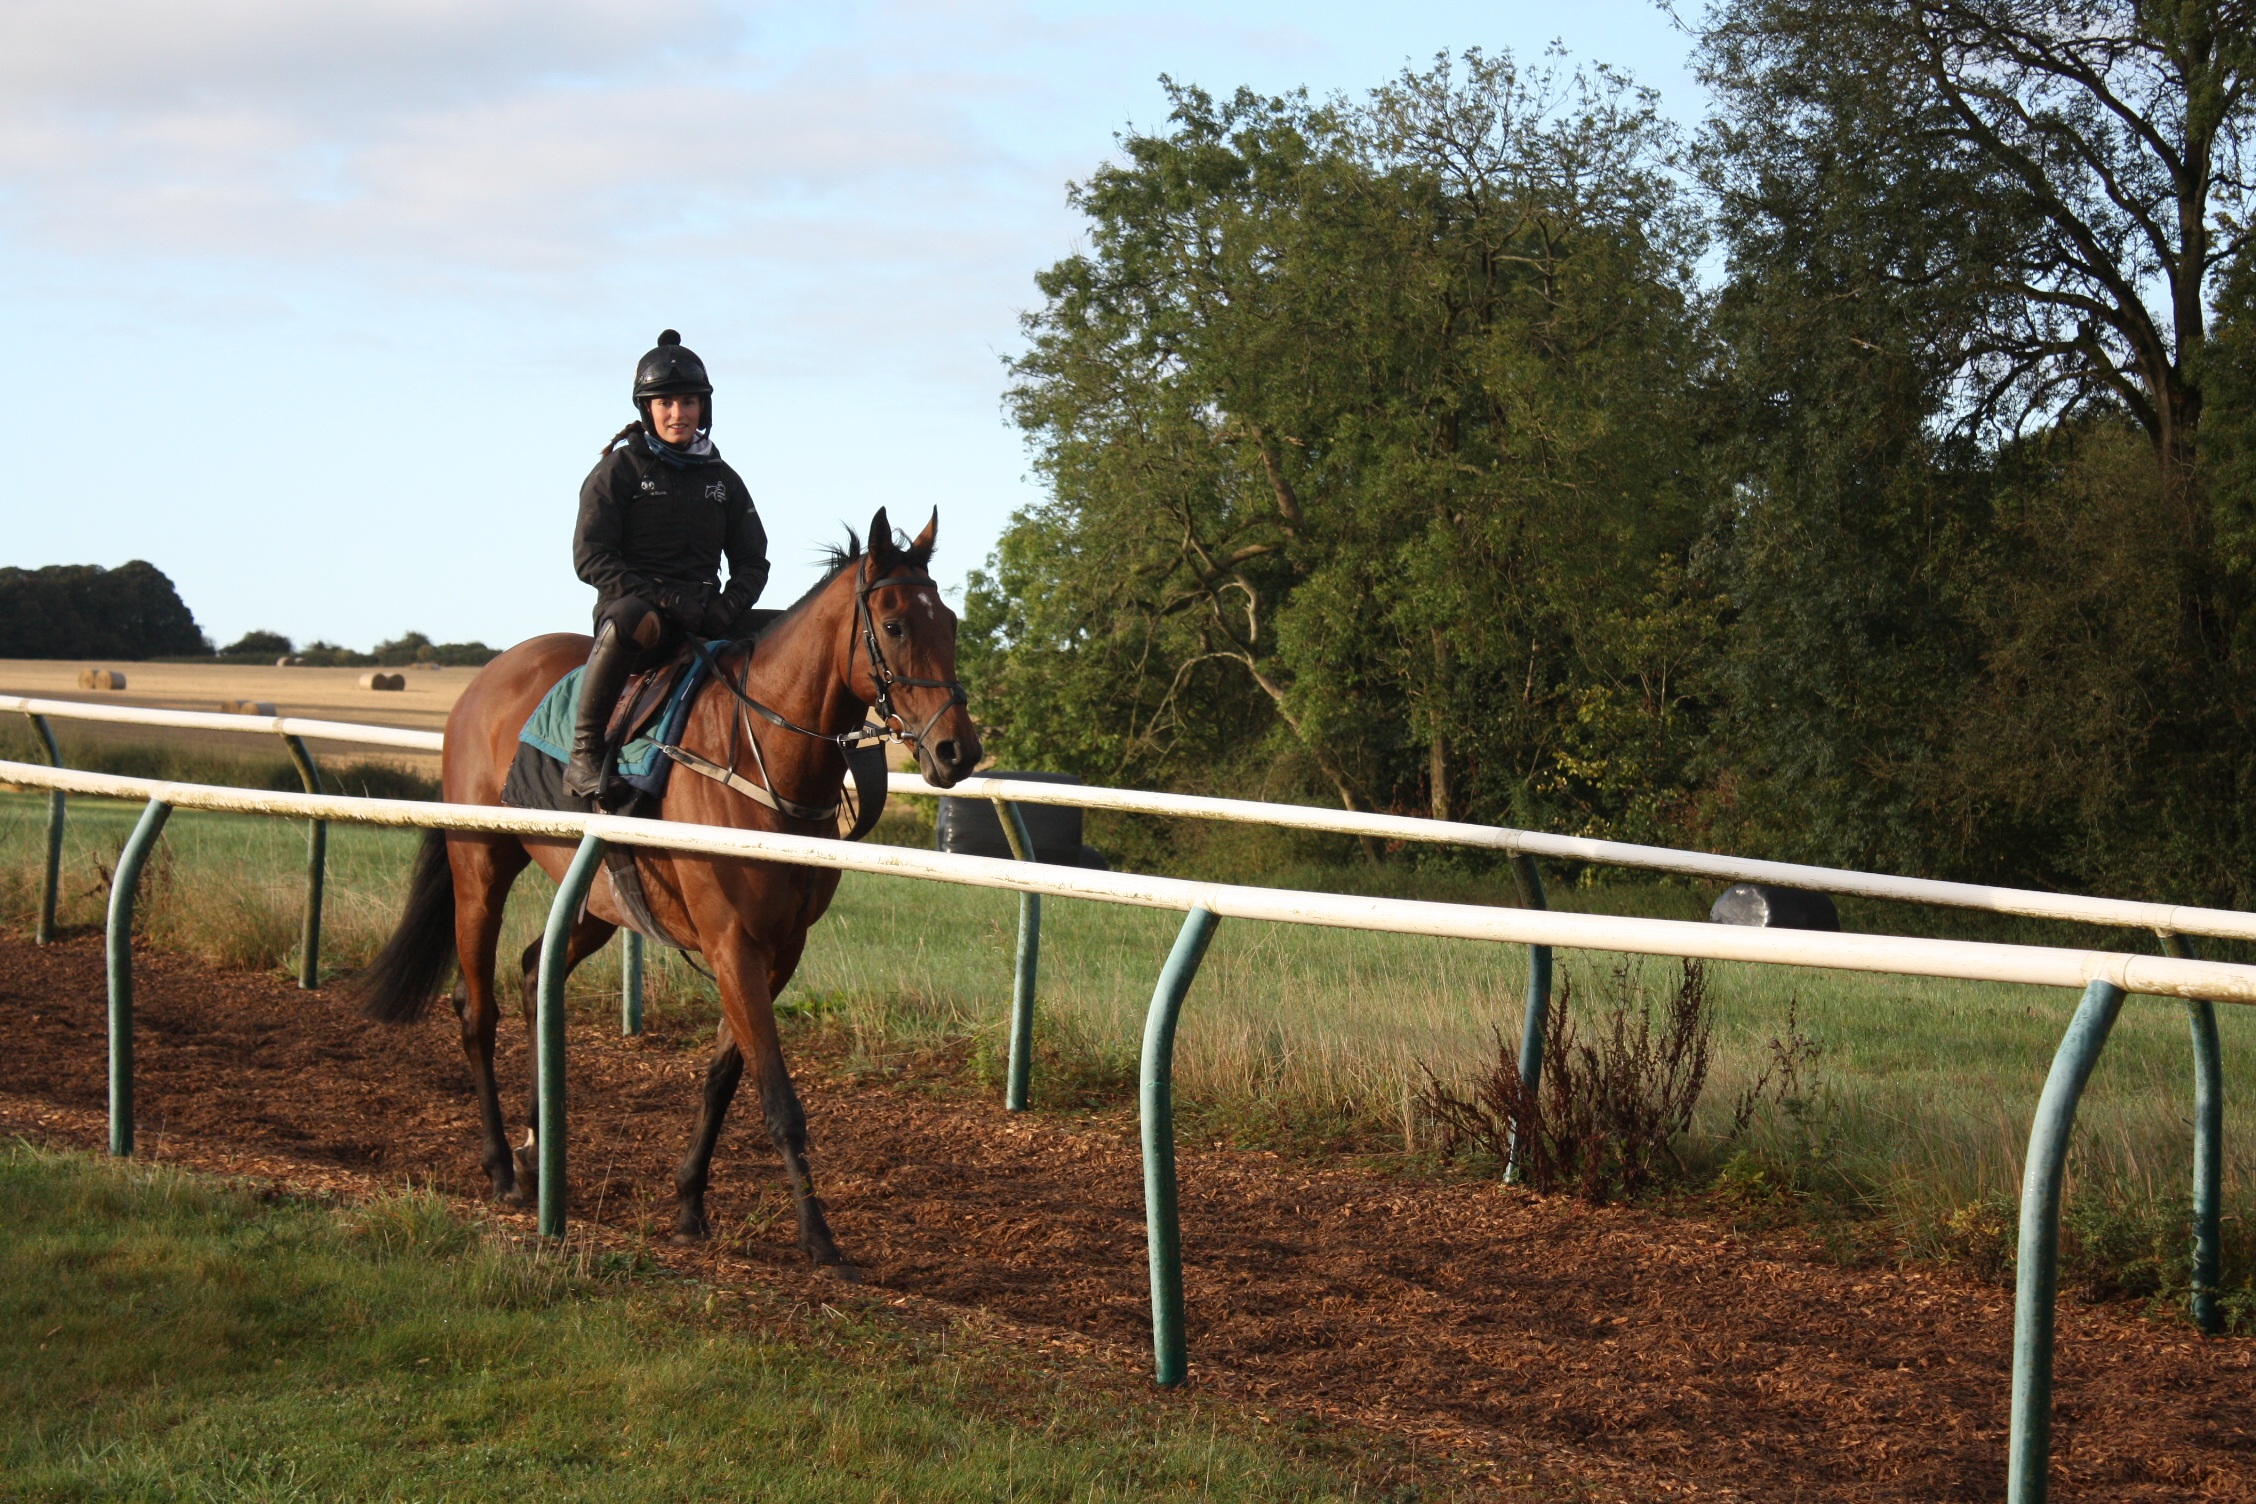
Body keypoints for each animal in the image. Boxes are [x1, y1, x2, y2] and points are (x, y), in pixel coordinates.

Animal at [356, 511, 974, 1280]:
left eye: (950, 621)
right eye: (893, 625)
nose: (957, 752)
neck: (763, 760)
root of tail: (486, 676)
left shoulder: (780, 949)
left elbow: (724, 1077)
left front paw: (688, 1206)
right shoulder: (731, 941)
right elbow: (778, 1097)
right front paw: (820, 1240)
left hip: (596, 895)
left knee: (533, 972)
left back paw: (537, 1147)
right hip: (480, 868)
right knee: (477, 1010)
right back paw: (501, 1164)